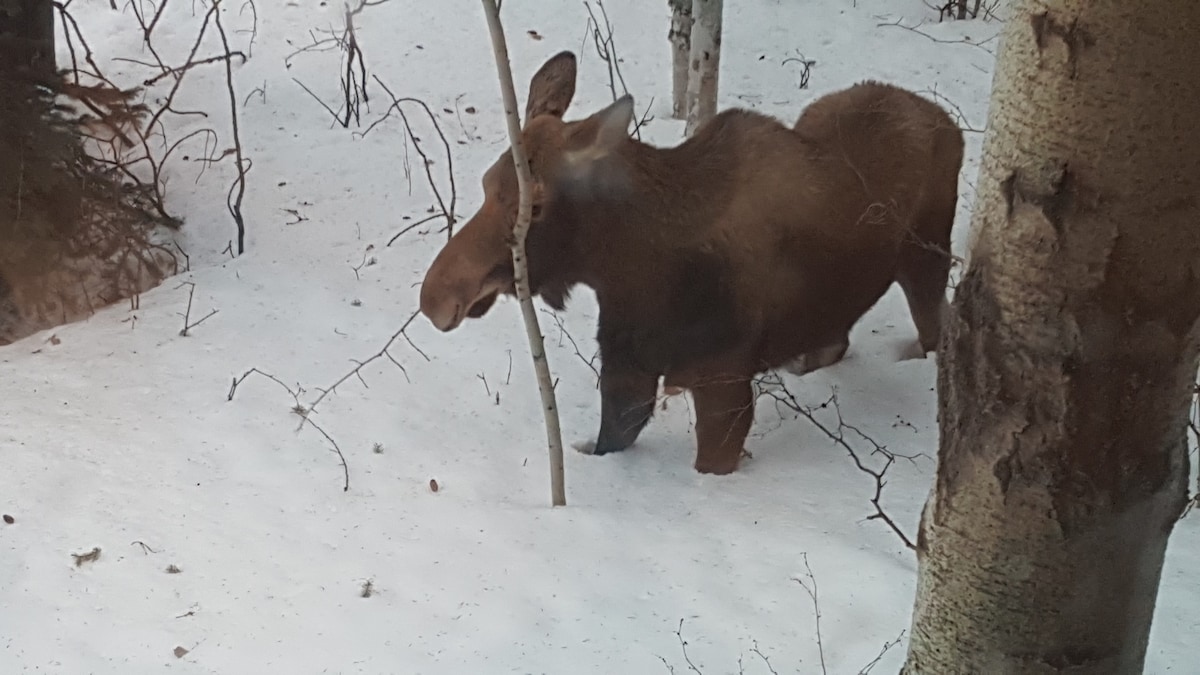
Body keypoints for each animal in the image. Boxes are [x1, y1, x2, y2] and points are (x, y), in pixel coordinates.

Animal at [417, 51, 960, 473]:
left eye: (535, 205)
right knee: (837, 338)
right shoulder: (627, 369)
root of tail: (944, 118)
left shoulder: (724, 385)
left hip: (927, 259)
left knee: (934, 328)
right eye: (487, 184)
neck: (632, 270)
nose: (437, 296)